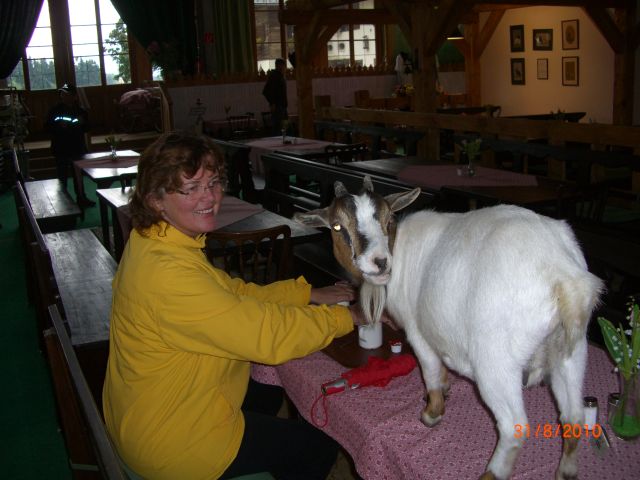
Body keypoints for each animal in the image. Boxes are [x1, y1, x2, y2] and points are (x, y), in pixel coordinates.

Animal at [294, 176, 603, 479]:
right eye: (337, 226)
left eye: (388, 219)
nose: (380, 262)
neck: (398, 248)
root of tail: (563, 276)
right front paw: (445, 388)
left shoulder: (418, 332)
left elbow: (430, 371)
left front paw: (432, 413)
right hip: (571, 351)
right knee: (573, 415)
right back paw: (566, 471)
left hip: (496, 361)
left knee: (514, 427)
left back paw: (491, 473)